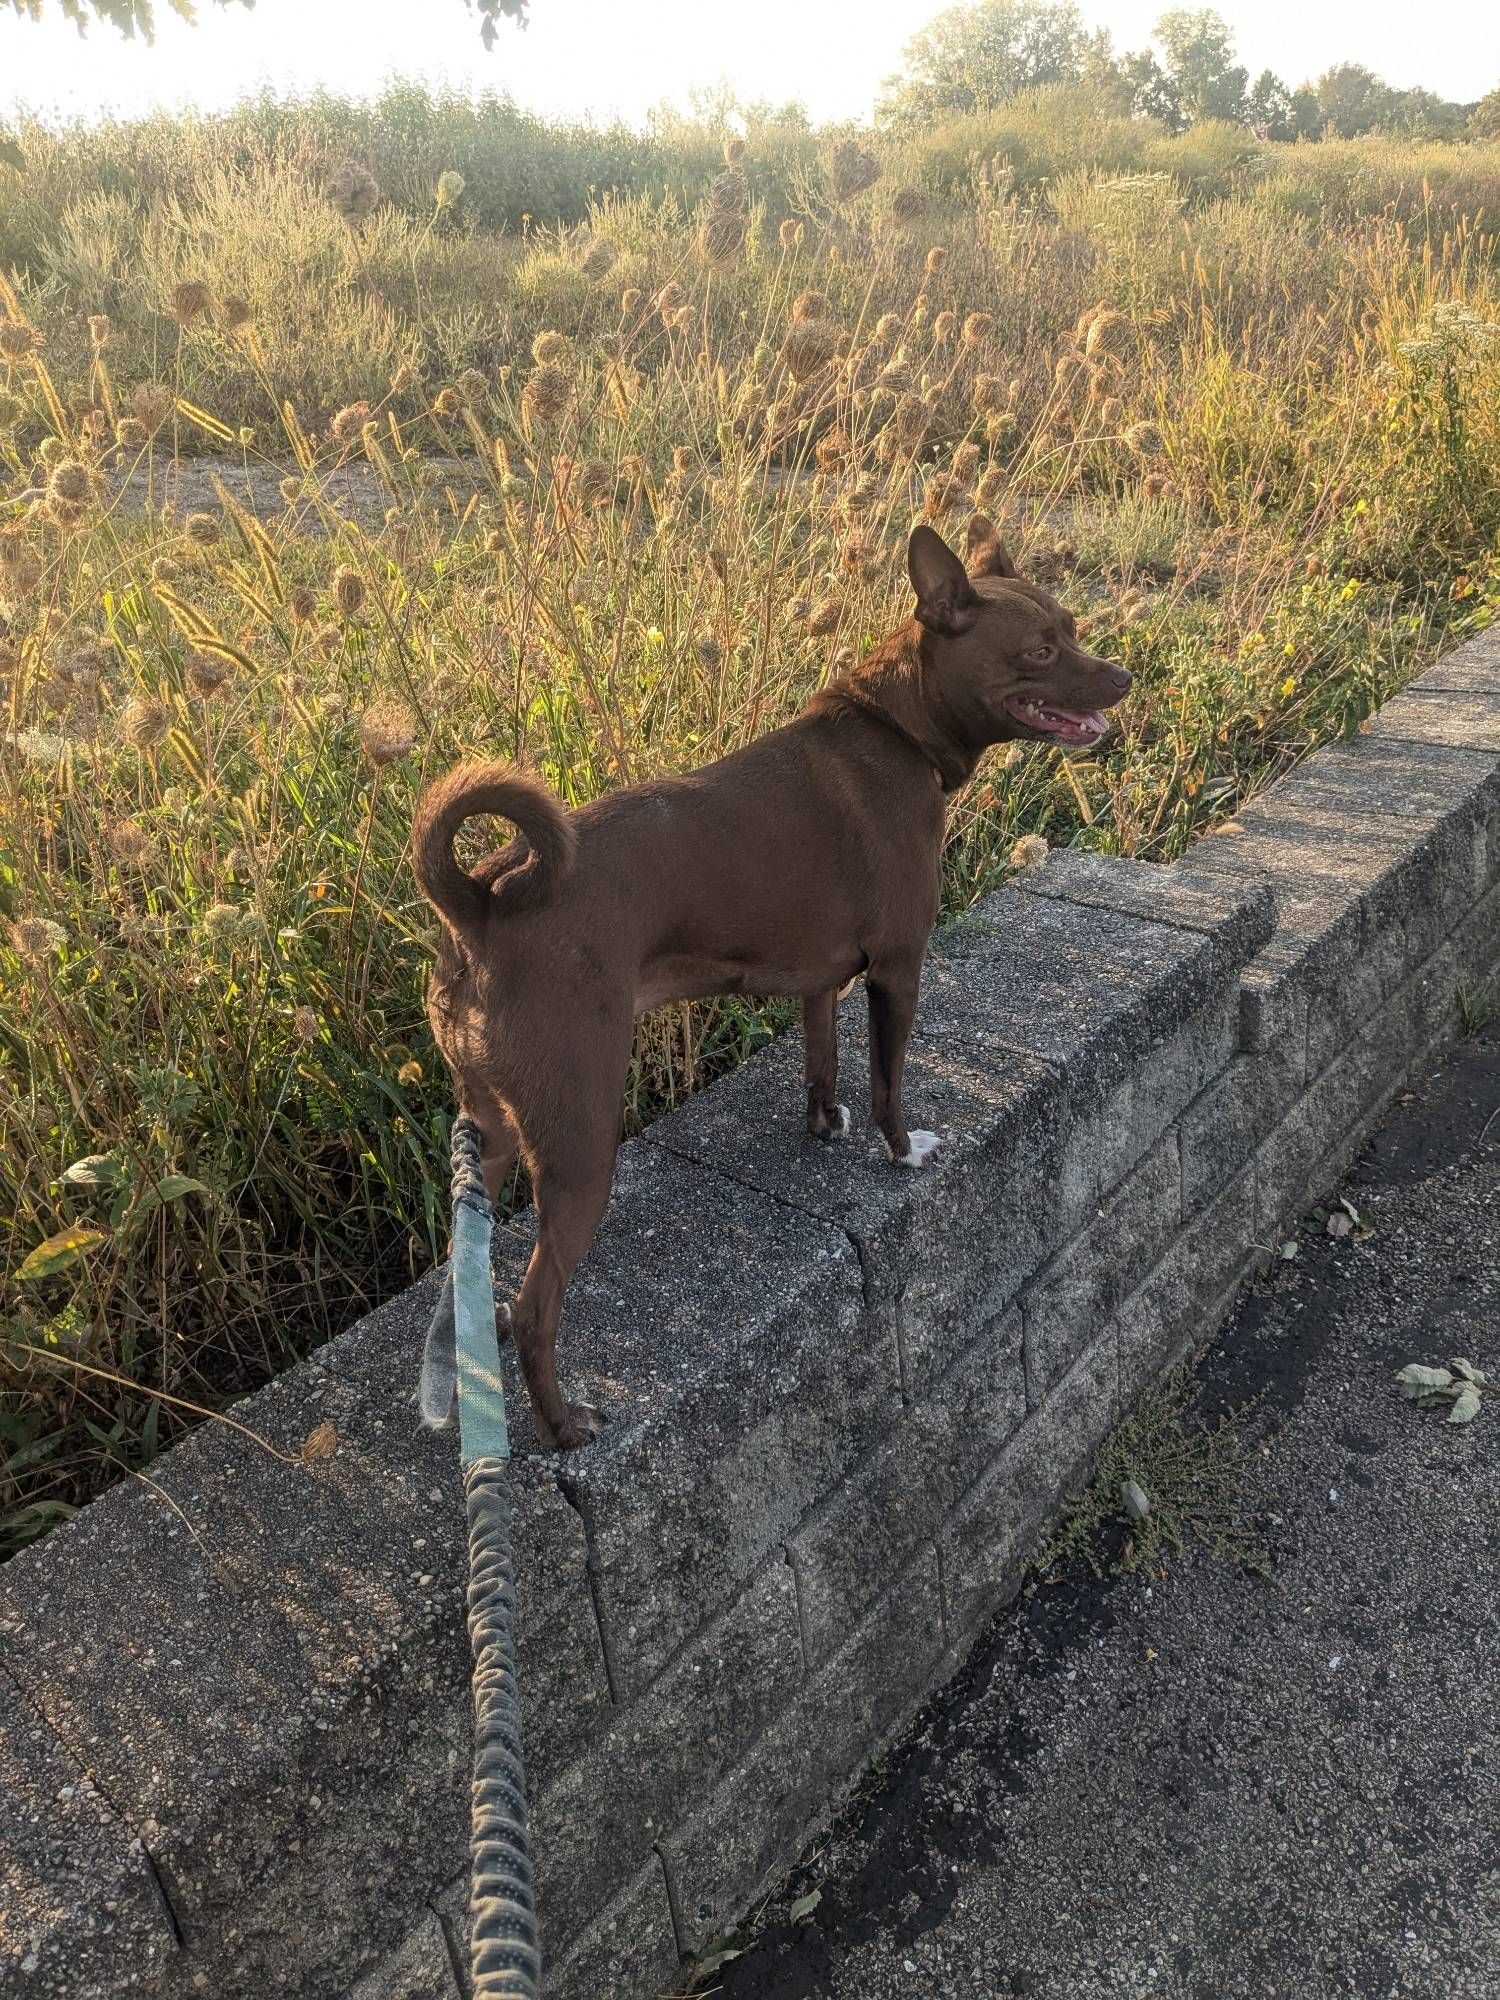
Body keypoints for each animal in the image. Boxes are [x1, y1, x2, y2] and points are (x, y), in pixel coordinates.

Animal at [412, 516, 1128, 1456]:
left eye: (1074, 629)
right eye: (1043, 649)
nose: (1123, 677)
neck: (896, 726)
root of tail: (482, 905)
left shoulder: (821, 982)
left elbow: (823, 1064)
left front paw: (824, 1126)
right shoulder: (899, 968)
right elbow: (890, 1083)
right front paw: (903, 1153)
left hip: (491, 1128)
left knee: (469, 1274)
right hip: (579, 1139)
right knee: (538, 1312)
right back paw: (564, 1426)